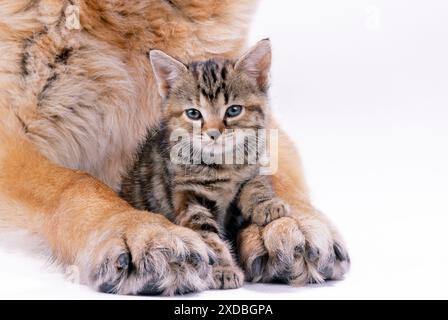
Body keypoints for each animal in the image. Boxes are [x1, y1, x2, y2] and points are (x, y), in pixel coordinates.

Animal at [120, 40, 288, 290]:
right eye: (193, 113)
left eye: (234, 110)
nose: (213, 133)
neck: (224, 164)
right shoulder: (188, 194)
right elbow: (207, 236)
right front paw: (223, 269)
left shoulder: (251, 169)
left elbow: (255, 183)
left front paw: (267, 204)